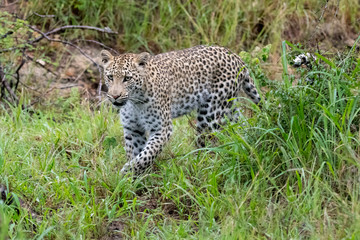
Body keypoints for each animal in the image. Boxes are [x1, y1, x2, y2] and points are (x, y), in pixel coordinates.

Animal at [100, 45, 260, 175]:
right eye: (110, 77)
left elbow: (147, 154)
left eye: (127, 78)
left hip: (210, 114)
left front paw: (127, 171)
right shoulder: (132, 129)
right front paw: (134, 180)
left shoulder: (161, 128)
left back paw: (201, 165)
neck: (134, 102)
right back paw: (244, 142)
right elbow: (136, 152)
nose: (115, 96)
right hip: (229, 107)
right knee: (240, 124)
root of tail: (235, 56)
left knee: (206, 144)